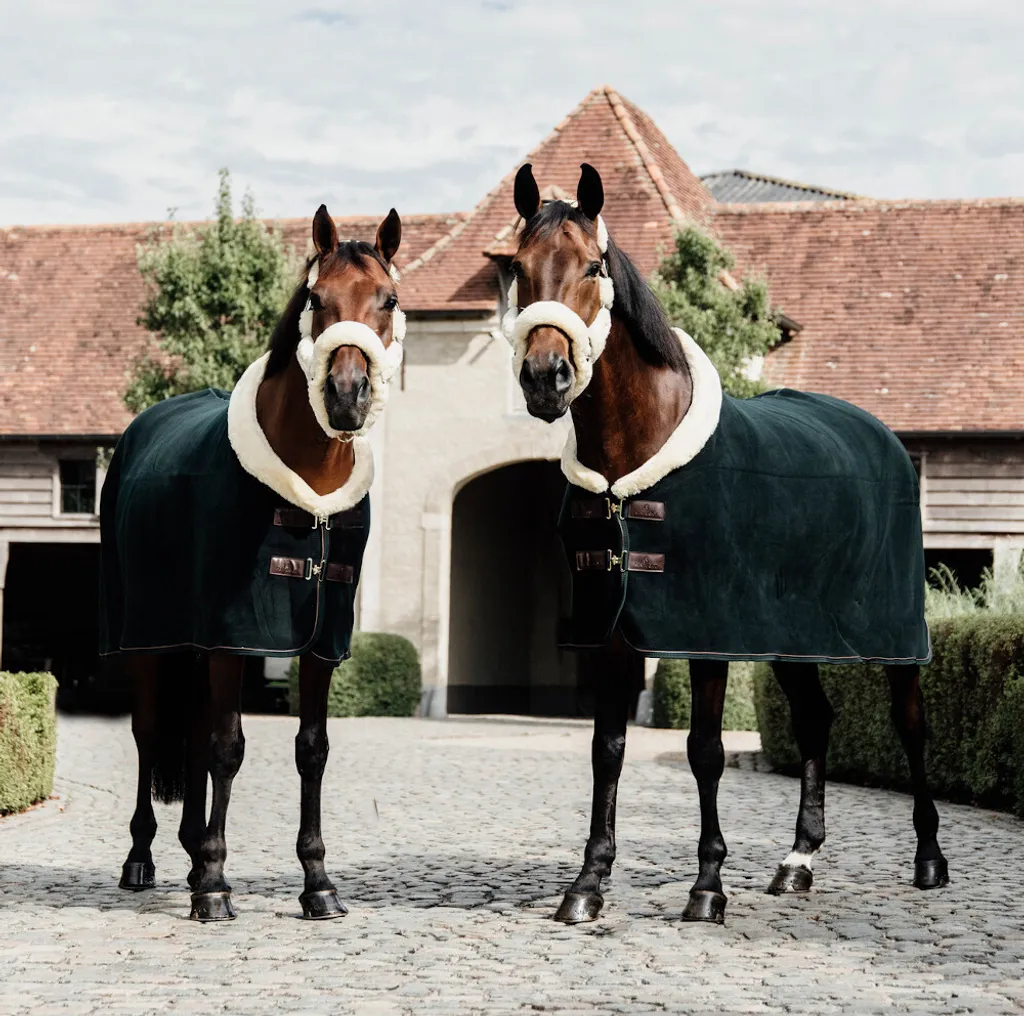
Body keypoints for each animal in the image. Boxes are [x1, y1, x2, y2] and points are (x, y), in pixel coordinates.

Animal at [100, 204, 405, 922]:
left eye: (388, 299)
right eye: (317, 300)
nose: (347, 394)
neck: (309, 490)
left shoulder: (321, 641)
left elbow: (311, 750)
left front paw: (317, 882)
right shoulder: (232, 637)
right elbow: (227, 748)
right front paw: (215, 884)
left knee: (188, 733)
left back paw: (188, 852)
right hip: (146, 639)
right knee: (151, 733)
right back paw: (144, 858)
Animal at [503, 162, 949, 925]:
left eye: (593, 266)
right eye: (520, 269)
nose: (545, 378)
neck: (635, 458)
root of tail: (884, 437)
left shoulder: (707, 630)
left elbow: (705, 749)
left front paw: (707, 886)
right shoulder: (615, 629)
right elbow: (607, 749)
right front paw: (587, 885)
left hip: (894, 636)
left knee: (910, 723)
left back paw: (929, 860)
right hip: (793, 637)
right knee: (816, 720)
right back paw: (798, 861)